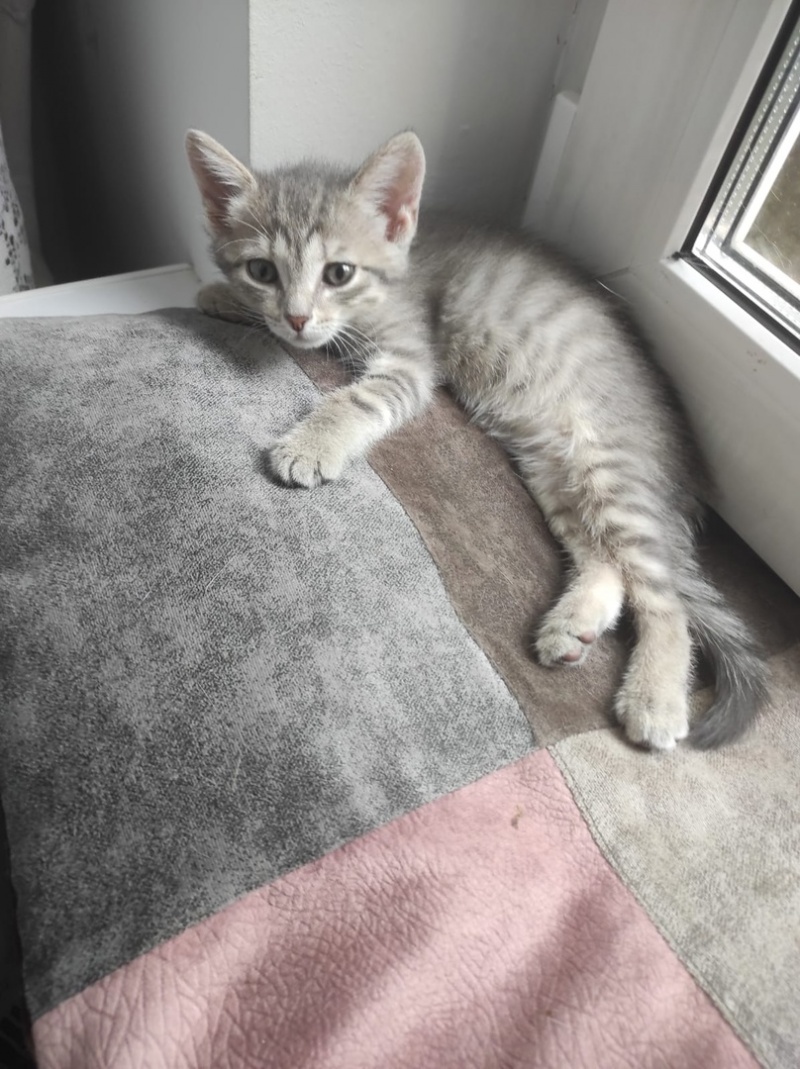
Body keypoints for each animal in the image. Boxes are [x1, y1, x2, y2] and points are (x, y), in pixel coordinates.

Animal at [185, 128, 768, 751]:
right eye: (261, 271)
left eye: (338, 273)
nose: (295, 318)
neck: (392, 278)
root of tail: (682, 465)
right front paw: (225, 296)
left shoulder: (411, 362)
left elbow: (357, 398)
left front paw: (311, 445)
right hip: (552, 470)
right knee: (605, 560)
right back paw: (574, 626)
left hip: (610, 470)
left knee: (665, 596)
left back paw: (655, 696)